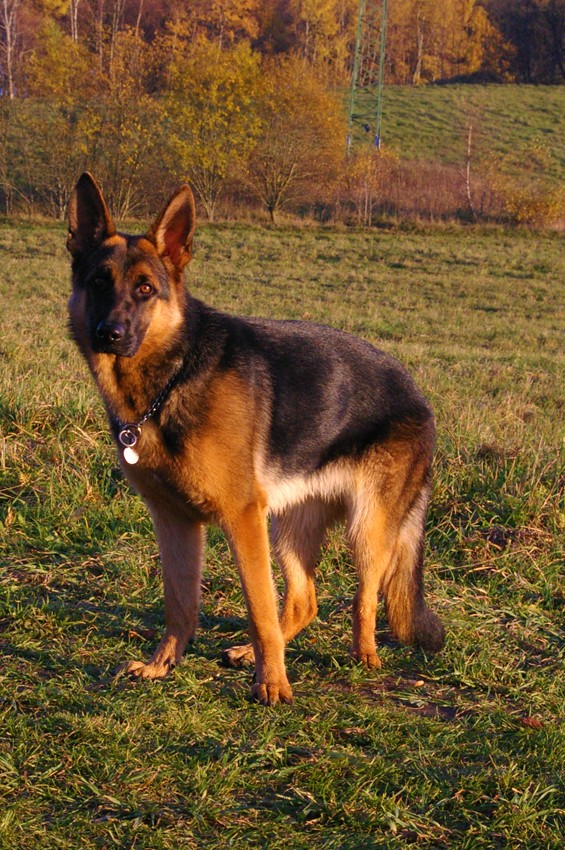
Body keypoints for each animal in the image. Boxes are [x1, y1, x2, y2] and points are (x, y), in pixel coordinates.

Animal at [67, 172, 444, 705]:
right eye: (99, 282)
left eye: (145, 289)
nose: (110, 333)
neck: (172, 378)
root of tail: (416, 390)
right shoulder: (175, 522)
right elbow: (180, 603)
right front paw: (164, 665)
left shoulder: (242, 518)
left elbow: (259, 608)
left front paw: (273, 684)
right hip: (289, 526)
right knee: (305, 600)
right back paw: (251, 653)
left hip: (366, 528)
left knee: (364, 595)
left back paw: (363, 655)